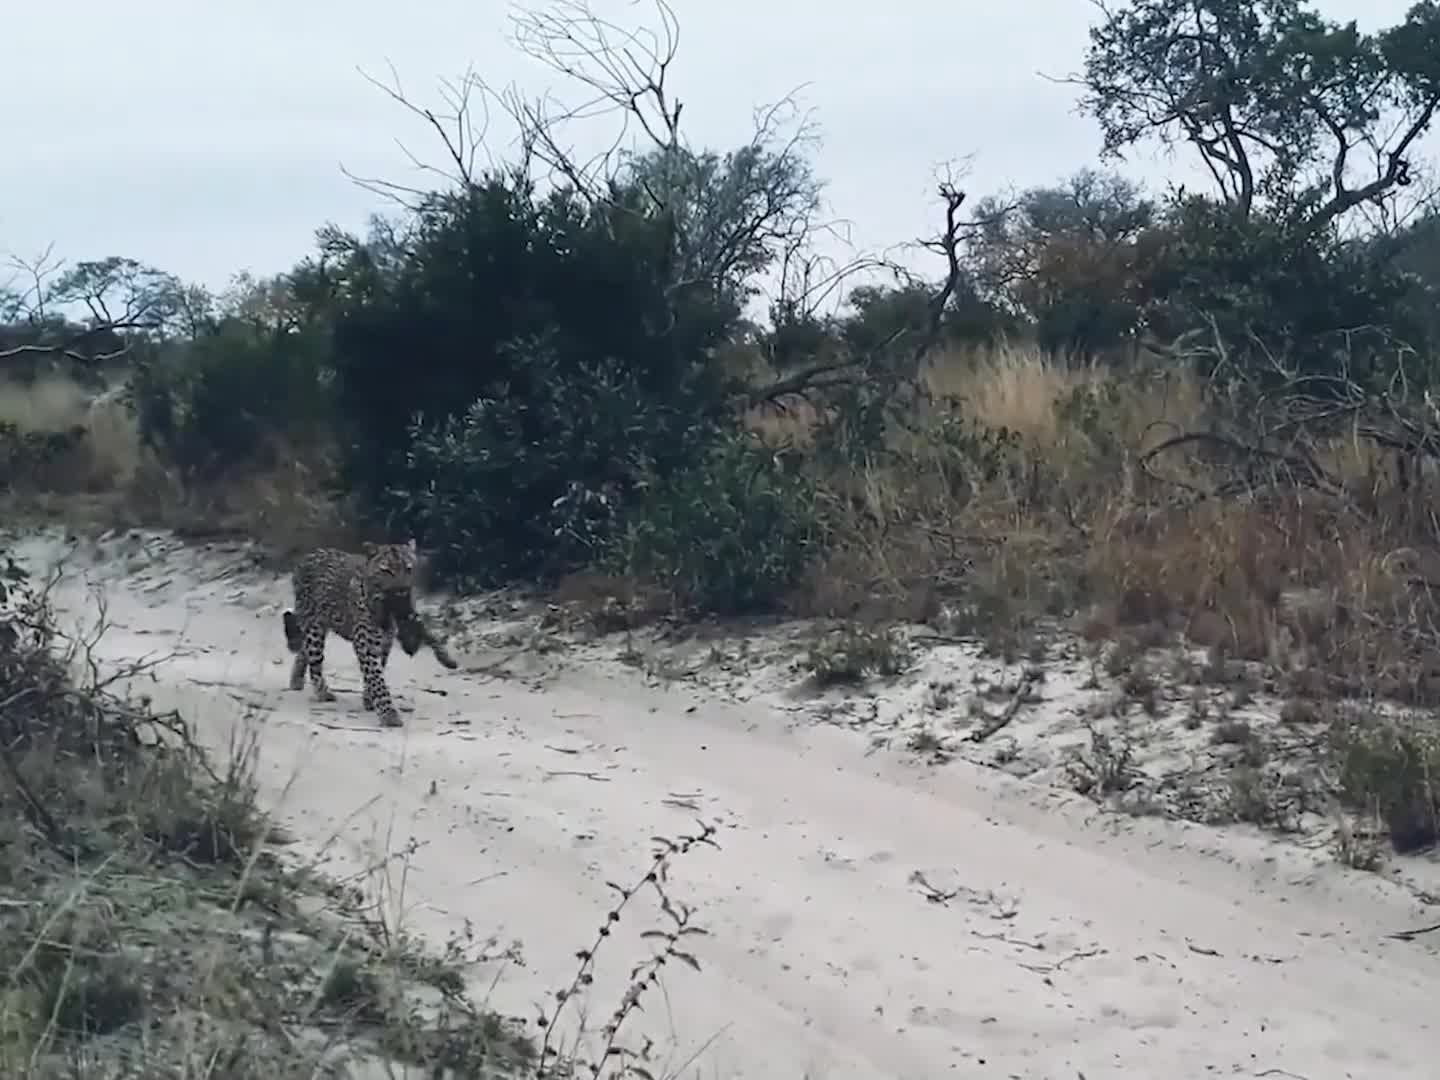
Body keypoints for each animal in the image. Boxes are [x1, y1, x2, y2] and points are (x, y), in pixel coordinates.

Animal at [280, 538, 455, 728]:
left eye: (408, 569)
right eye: (386, 570)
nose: (401, 590)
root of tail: (309, 555)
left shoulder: (385, 642)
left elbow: (377, 670)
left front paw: (368, 698)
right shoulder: (365, 644)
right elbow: (376, 678)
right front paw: (389, 714)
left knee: (304, 650)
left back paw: (296, 680)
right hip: (315, 626)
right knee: (314, 661)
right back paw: (322, 692)